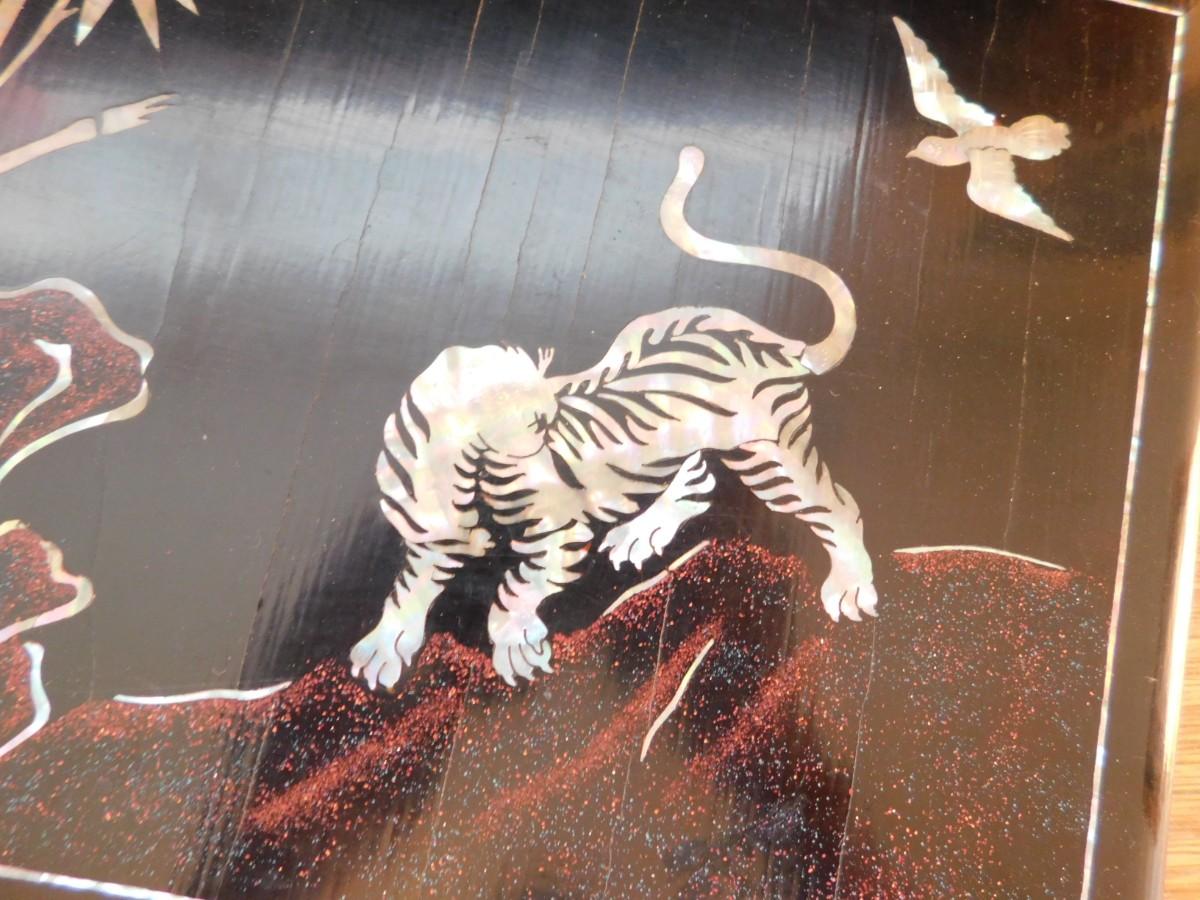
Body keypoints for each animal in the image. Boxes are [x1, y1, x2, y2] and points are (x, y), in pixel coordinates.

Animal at [351, 146, 875, 689]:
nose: (549, 412)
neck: (468, 477)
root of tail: (777, 342)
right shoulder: (434, 539)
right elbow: (408, 588)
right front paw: (384, 647)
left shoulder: (558, 539)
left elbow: (514, 590)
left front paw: (515, 645)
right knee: (693, 479)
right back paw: (642, 529)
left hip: (769, 456)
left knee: (838, 507)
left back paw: (851, 585)